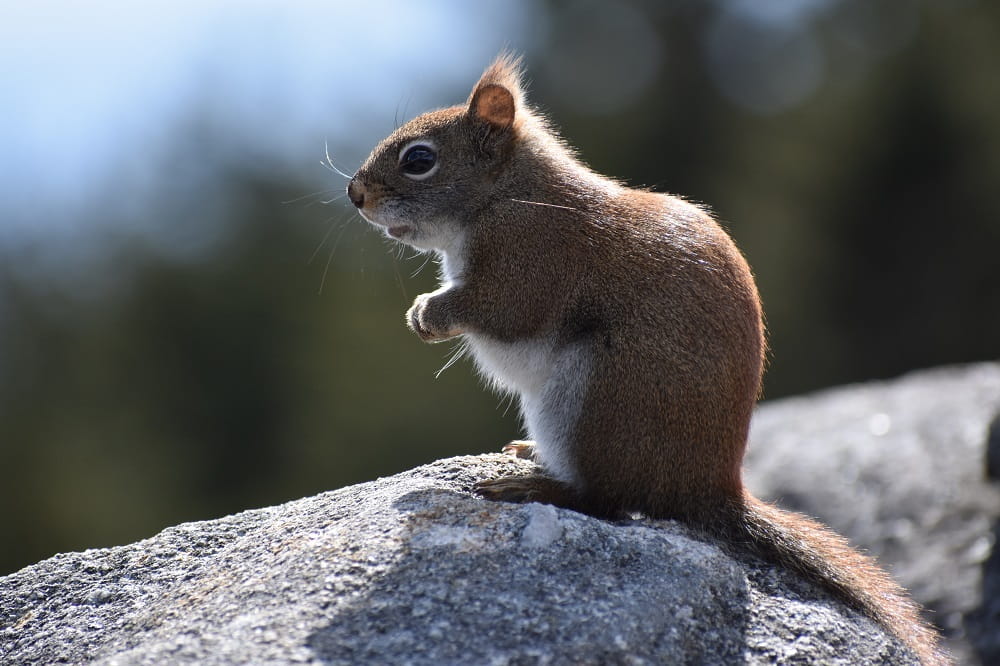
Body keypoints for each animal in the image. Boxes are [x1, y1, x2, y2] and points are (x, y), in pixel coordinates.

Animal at [346, 54, 944, 660]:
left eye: (419, 159)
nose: (355, 194)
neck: (508, 194)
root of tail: (705, 488)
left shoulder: (532, 257)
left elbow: (502, 309)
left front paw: (429, 313)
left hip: (594, 398)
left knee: (607, 499)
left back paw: (536, 486)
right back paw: (531, 456)